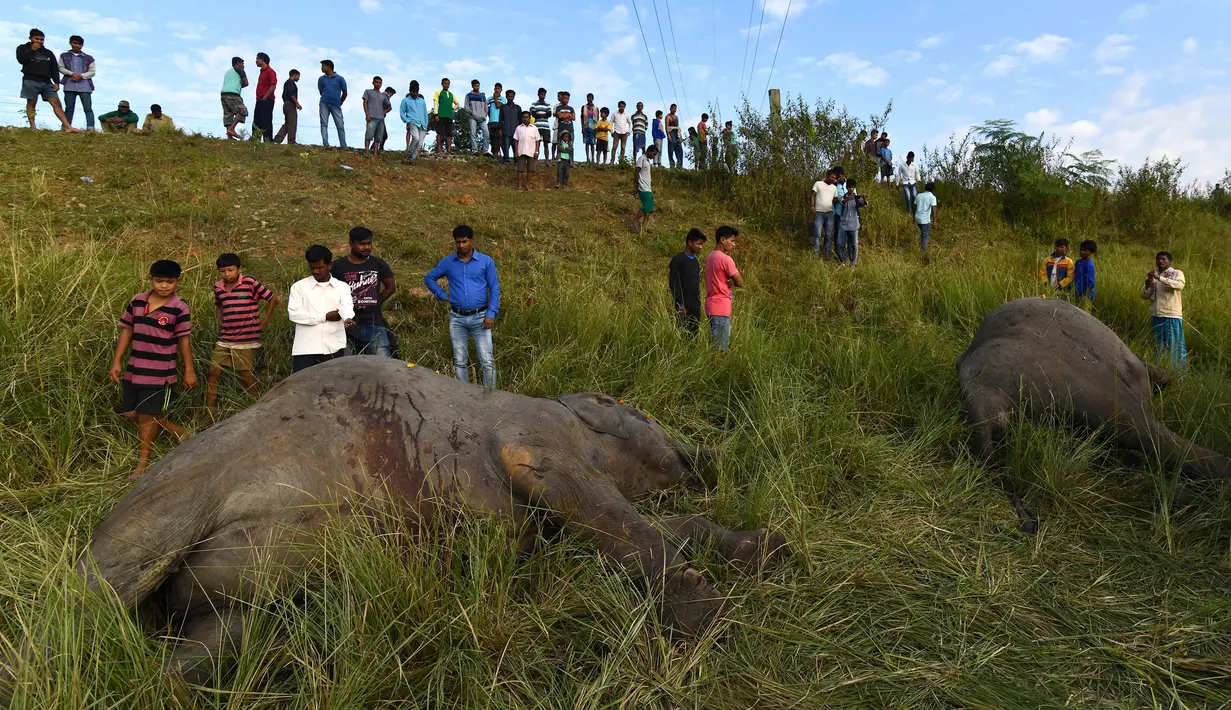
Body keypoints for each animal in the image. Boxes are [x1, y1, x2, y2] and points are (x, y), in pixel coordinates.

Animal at [74, 356, 787, 684]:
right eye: (642, 414)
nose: (707, 455)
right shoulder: (540, 446)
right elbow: (624, 523)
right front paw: (700, 607)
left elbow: (666, 529)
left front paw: (761, 546)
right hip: (165, 507)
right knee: (94, 600)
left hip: (250, 605)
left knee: (201, 648)